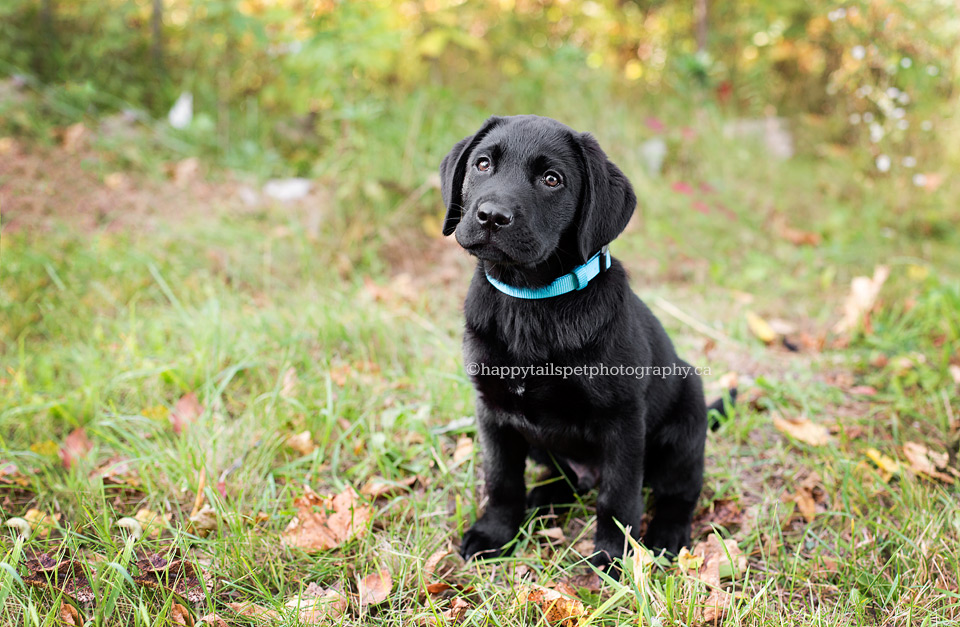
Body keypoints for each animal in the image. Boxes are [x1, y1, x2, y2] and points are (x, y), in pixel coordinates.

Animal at [438, 115, 708, 572]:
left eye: (552, 179)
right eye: (482, 164)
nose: (491, 216)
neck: (530, 302)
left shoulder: (623, 420)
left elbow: (618, 497)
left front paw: (615, 557)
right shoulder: (492, 411)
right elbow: (501, 479)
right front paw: (495, 534)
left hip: (687, 419)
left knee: (679, 492)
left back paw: (666, 536)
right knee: (568, 479)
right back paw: (544, 497)